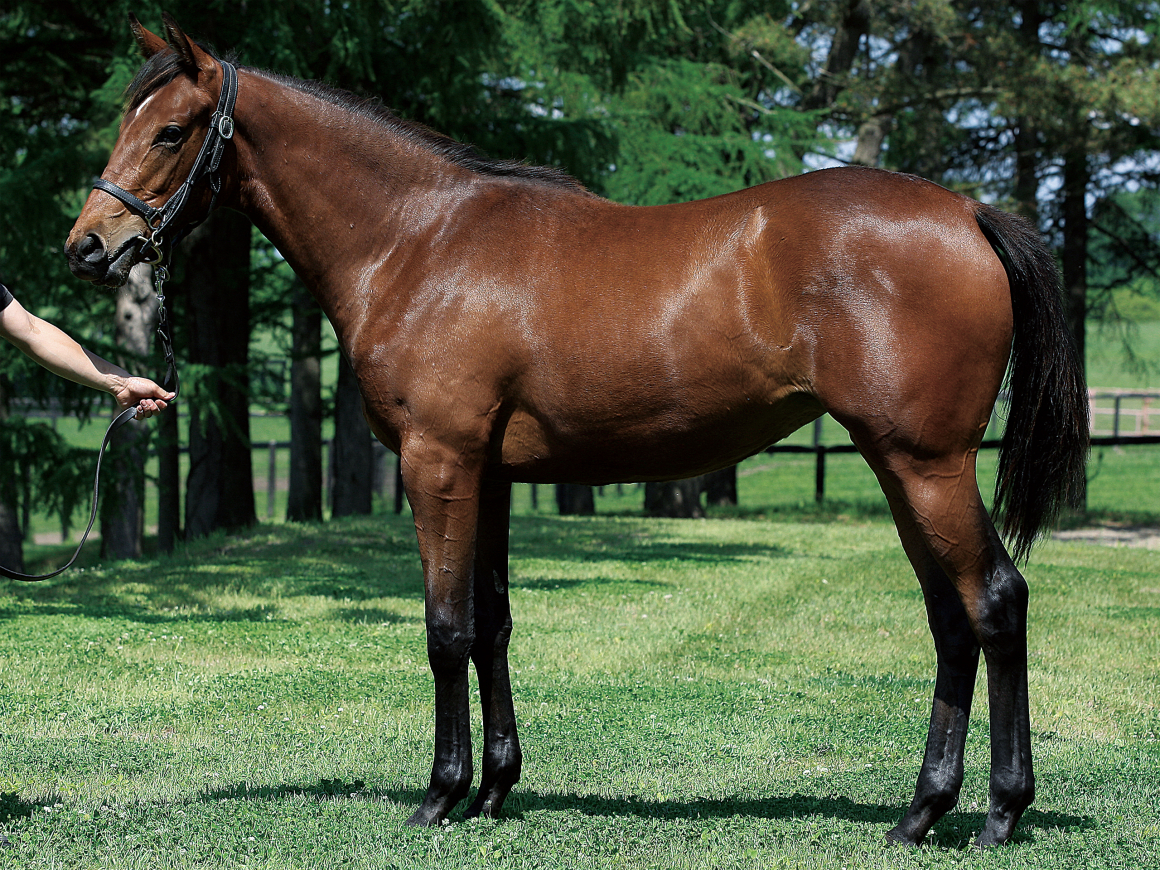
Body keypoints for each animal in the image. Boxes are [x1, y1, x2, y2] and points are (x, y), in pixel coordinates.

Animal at [65, 15, 1088, 847]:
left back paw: (1000, 812)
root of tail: (967, 211)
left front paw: (439, 796)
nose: (87, 246)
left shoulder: (439, 464)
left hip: (927, 464)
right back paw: (920, 812)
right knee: (951, 621)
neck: (417, 241)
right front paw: (494, 790)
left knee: (995, 602)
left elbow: (444, 629)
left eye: (170, 130)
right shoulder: (488, 475)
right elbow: (493, 626)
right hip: (895, 464)